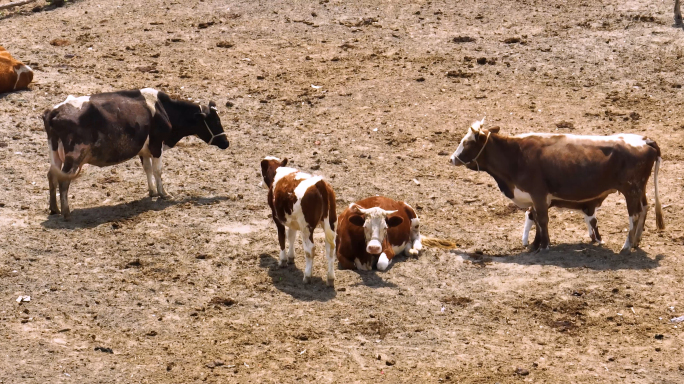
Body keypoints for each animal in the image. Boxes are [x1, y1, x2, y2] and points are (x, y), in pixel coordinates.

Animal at [44, 87, 230, 219]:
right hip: (74, 157)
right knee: (63, 181)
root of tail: (54, 111)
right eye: (215, 121)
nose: (226, 142)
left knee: (51, 175)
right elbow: (157, 170)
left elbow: (147, 169)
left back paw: (54, 208)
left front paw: (152, 191)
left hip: (55, 154)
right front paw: (164, 193)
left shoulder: (144, 150)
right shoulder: (156, 145)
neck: (163, 109)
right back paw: (66, 212)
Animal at [260, 156, 338, 284]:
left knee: (310, 249)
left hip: (306, 228)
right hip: (331, 223)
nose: (260, 183)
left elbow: (282, 238)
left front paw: (282, 260)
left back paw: (307, 276)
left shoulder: (277, 217)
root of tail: (319, 183)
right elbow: (291, 236)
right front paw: (291, 257)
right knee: (330, 249)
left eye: (262, 172)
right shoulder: (292, 220)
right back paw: (330, 278)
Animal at [448, 118, 664, 254]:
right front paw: (535, 244)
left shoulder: (539, 194)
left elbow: (542, 220)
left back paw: (627, 245)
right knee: (644, 209)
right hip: (639, 189)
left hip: (631, 190)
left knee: (634, 215)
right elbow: (535, 218)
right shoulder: (534, 198)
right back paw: (636, 241)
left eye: (466, 143)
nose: (452, 159)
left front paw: (544, 246)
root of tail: (645, 140)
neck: (516, 155)